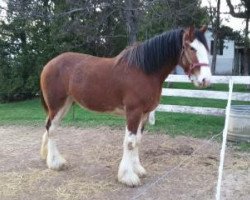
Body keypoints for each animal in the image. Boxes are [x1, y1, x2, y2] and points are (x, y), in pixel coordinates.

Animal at [40, 25, 212, 187]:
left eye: (207, 48)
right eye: (192, 48)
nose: (206, 80)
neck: (145, 71)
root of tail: (49, 64)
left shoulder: (144, 114)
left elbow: (138, 141)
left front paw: (138, 169)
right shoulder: (133, 112)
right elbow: (130, 143)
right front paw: (128, 177)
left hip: (66, 104)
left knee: (50, 128)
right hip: (57, 105)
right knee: (52, 129)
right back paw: (55, 163)